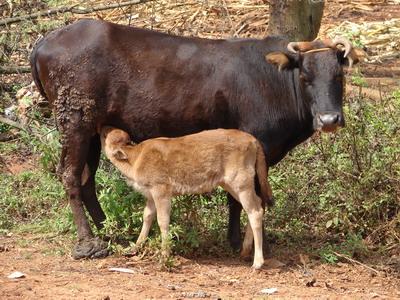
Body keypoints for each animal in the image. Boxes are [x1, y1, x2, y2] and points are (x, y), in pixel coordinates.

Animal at [101, 126, 274, 270]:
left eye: (105, 136)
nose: (102, 127)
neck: (136, 158)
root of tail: (252, 140)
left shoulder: (161, 192)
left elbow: (163, 221)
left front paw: (164, 257)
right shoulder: (151, 196)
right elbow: (147, 217)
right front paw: (135, 247)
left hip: (241, 184)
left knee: (255, 211)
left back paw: (257, 262)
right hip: (231, 186)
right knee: (257, 206)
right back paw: (245, 252)